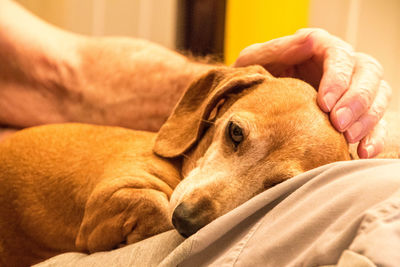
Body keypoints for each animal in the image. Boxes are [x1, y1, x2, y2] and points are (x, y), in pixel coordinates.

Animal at [0, 66, 350, 266]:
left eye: (279, 187)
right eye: (235, 132)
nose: (187, 219)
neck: (180, 166)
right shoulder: (108, 199)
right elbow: (155, 206)